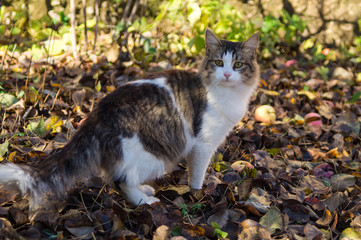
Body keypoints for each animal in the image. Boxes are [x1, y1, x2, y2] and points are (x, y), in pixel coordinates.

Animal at [0, 29, 258, 208]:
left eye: (237, 65)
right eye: (218, 63)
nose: (227, 74)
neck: (225, 94)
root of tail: (96, 116)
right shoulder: (203, 144)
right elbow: (197, 175)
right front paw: (197, 194)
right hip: (153, 155)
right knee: (122, 180)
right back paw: (145, 201)